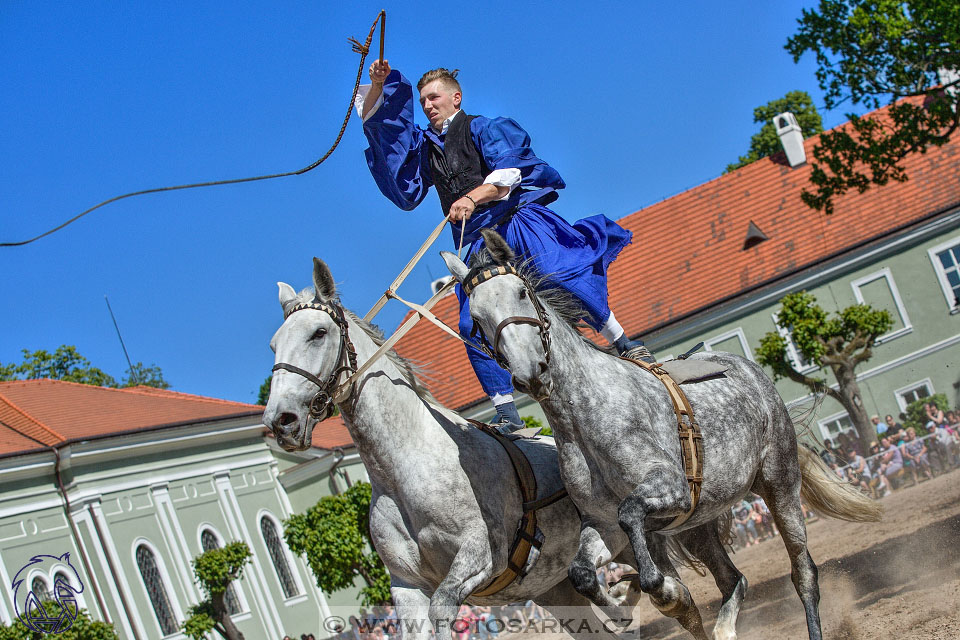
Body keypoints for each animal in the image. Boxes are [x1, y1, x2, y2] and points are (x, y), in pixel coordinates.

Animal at [262, 258, 652, 640]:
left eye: (318, 333)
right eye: (274, 345)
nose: (280, 421)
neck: (405, 468)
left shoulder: (479, 556)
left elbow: (443, 607)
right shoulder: (406, 586)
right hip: (554, 589)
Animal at [440, 231, 876, 640]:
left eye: (520, 293)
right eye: (476, 319)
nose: (530, 374)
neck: (585, 419)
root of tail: (749, 370)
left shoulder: (670, 489)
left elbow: (633, 518)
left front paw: (653, 587)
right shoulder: (601, 523)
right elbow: (583, 573)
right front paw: (632, 599)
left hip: (779, 485)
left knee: (803, 573)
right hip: (699, 521)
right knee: (733, 580)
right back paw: (723, 626)